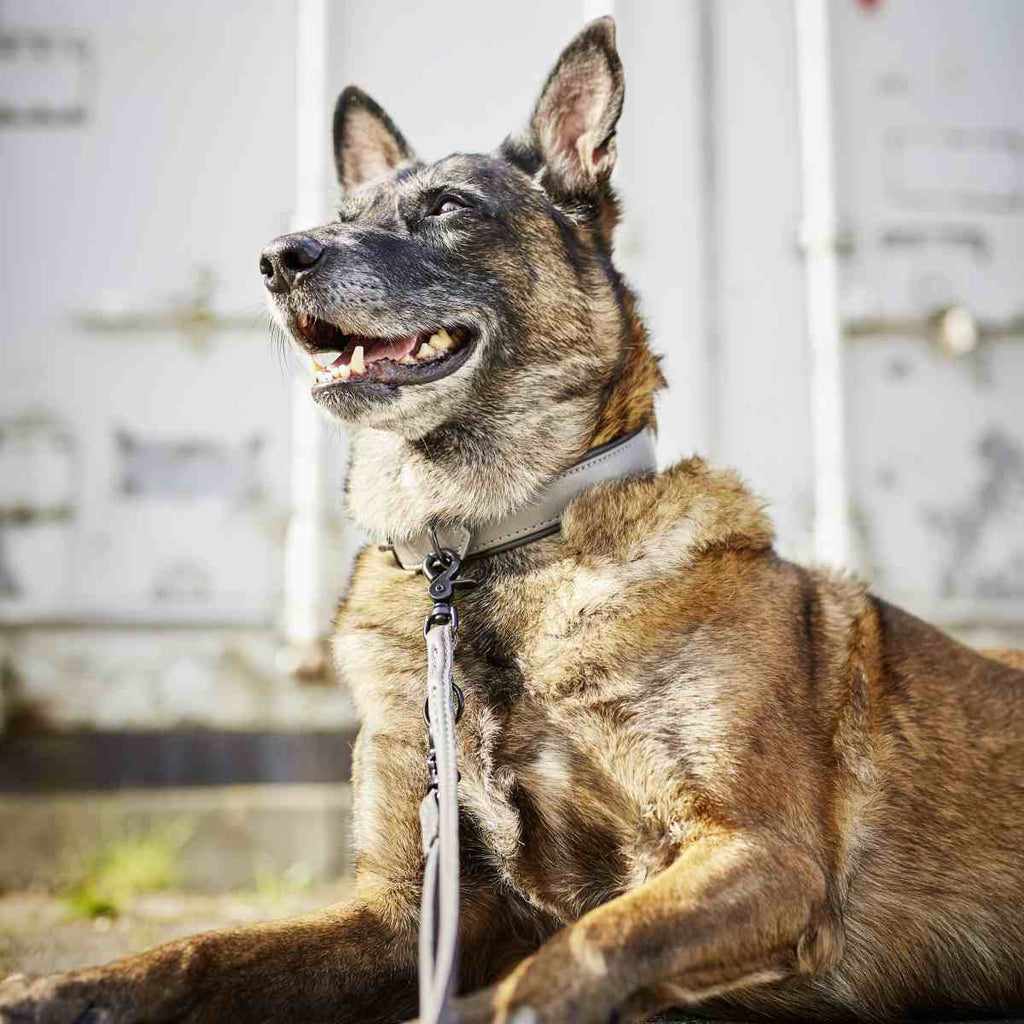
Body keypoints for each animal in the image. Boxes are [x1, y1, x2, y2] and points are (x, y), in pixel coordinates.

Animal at [2, 16, 1024, 1024]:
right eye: (343, 214)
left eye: (448, 206)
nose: (279, 259)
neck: (485, 551)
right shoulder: (404, 915)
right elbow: (202, 952)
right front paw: (65, 987)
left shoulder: (760, 853)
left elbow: (577, 951)